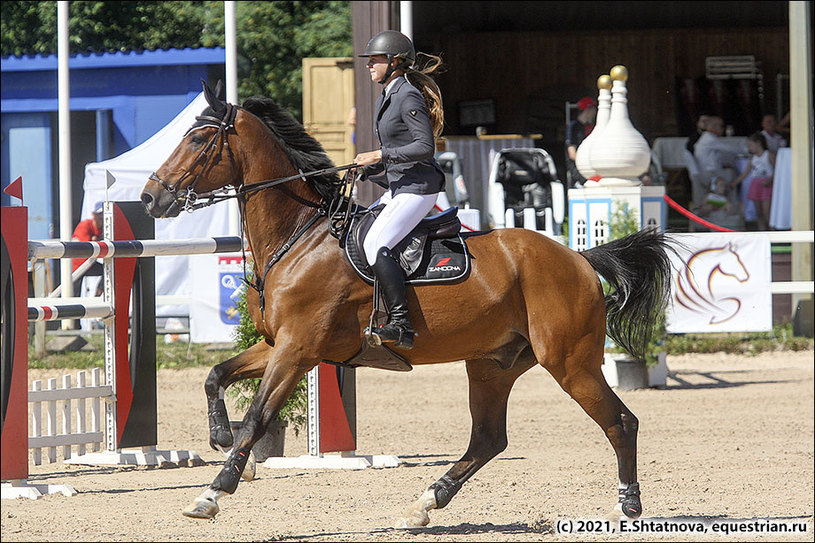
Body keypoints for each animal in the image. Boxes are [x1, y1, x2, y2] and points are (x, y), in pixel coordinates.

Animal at [140, 83, 676, 528]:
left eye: (197, 140)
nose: (149, 198)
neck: (298, 236)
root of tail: (579, 258)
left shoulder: (296, 349)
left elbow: (256, 417)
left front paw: (212, 493)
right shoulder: (282, 345)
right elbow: (216, 375)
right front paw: (220, 438)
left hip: (569, 361)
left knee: (619, 422)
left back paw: (628, 505)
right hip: (493, 363)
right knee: (488, 439)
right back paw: (423, 505)